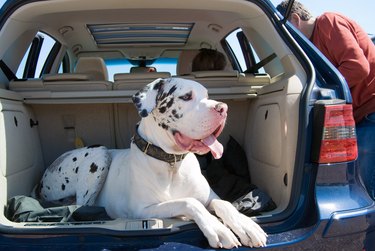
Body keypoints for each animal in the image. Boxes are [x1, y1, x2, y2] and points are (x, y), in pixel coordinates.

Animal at [37, 77, 268, 248]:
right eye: (186, 96)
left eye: (207, 96)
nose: (223, 108)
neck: (172, 163)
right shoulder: (143, 210)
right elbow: (189, 202)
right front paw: (218, 229)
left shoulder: (209, 197)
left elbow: (224, 203)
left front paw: (246, 225)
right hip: (99, 154)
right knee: (82, 205)